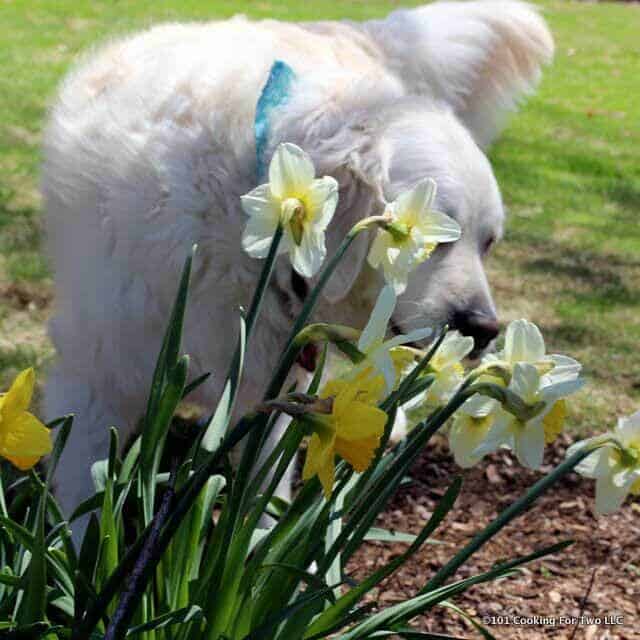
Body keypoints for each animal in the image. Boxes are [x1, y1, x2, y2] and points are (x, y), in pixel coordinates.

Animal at [41, 1, 556, 520]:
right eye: (432, 236)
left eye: (488, 243)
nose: (482, 328)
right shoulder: (96, 372)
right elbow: (79, 506)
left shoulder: (274, 392)